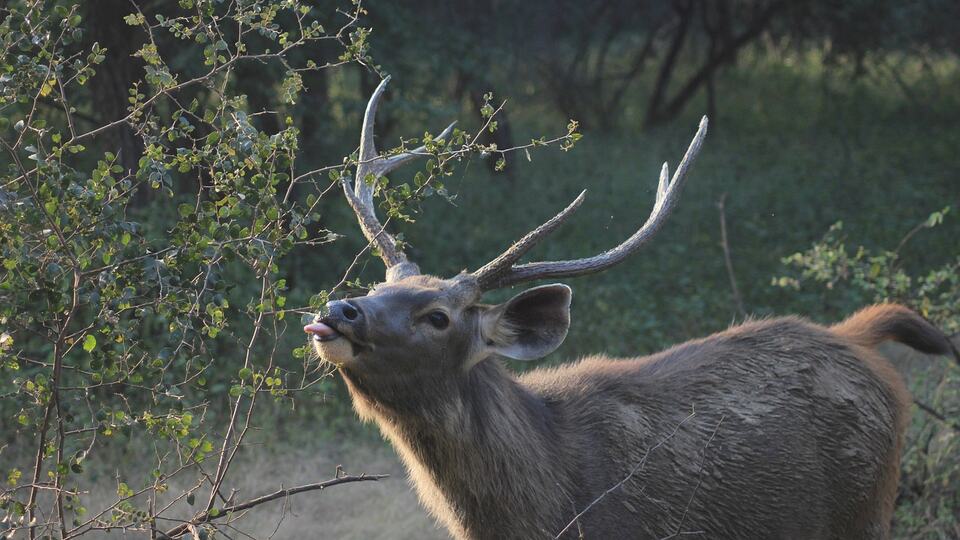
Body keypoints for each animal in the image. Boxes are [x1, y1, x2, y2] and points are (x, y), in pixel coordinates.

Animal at [304, 77, 955, 539]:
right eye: (377, 285)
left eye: (439, 316)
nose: (341, 309)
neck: (546, 511)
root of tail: (856, 338)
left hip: (865, 508)